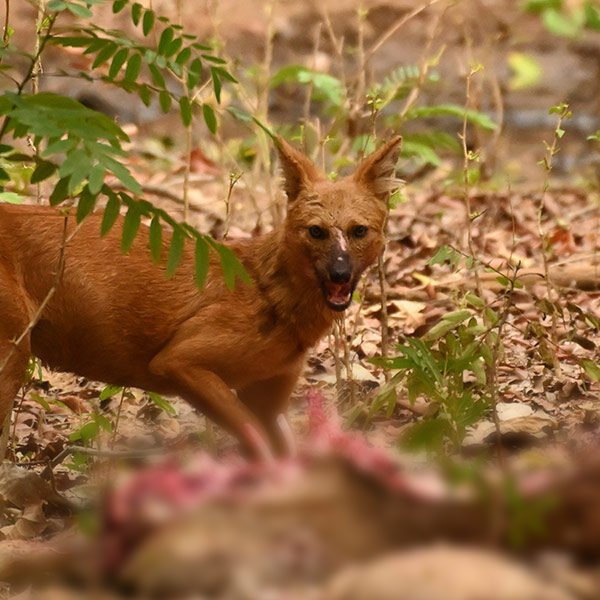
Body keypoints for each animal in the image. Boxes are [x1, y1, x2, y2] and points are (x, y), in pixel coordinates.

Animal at [1, 136, 404, 460]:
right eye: (316, 232)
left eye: (359, 231)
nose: (340, 273)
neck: (272, 296)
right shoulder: (180, 362)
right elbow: (257, 445)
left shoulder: (268, 397)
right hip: (13, 355)